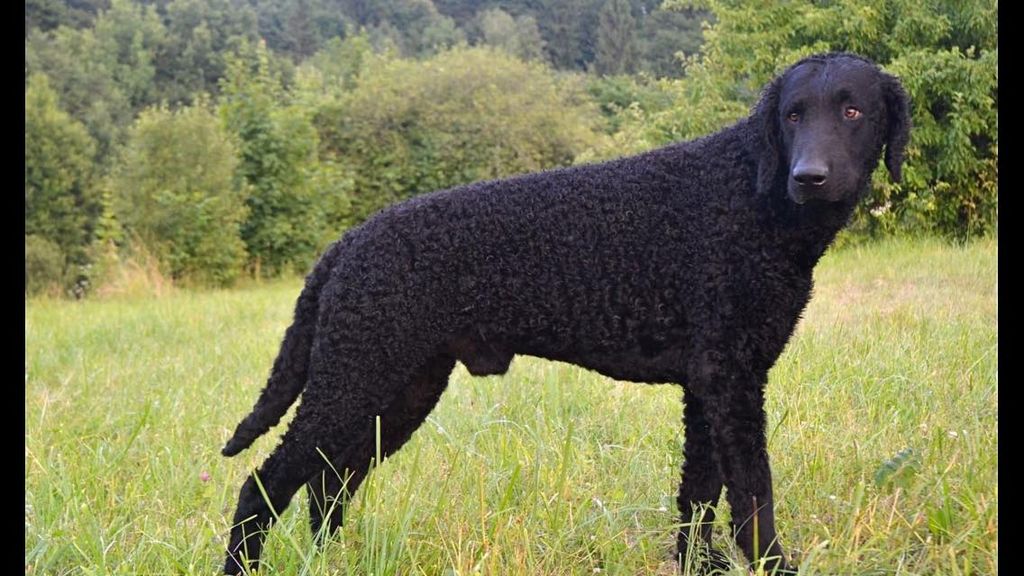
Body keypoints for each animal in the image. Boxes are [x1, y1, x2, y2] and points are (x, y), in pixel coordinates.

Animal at [222, 52, 905, 569]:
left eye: (853, 110)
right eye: (792, 115)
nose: (809, 176)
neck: (752, 195)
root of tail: (348, 242)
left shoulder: (710, 382)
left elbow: (699, 494)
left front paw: (698, 565)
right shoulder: (730, 379)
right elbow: (752, 498)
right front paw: (772, 565)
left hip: (399, 391)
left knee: (326, 486)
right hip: (354, 377)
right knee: (264, 486)